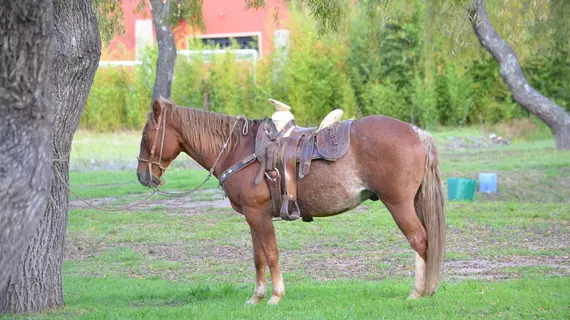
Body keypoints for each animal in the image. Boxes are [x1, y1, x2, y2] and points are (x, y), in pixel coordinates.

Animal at [136, 97, 444, 304]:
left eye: (146, 135)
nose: (142, 175)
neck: (240, 149)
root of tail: (416, 132)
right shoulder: (253, 216)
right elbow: (258, 256)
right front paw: (256, 297)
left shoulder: (258, 215)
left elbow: (271, 253)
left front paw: (275, 296)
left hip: (399, 205)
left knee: (420, 241)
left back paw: (419, 292)